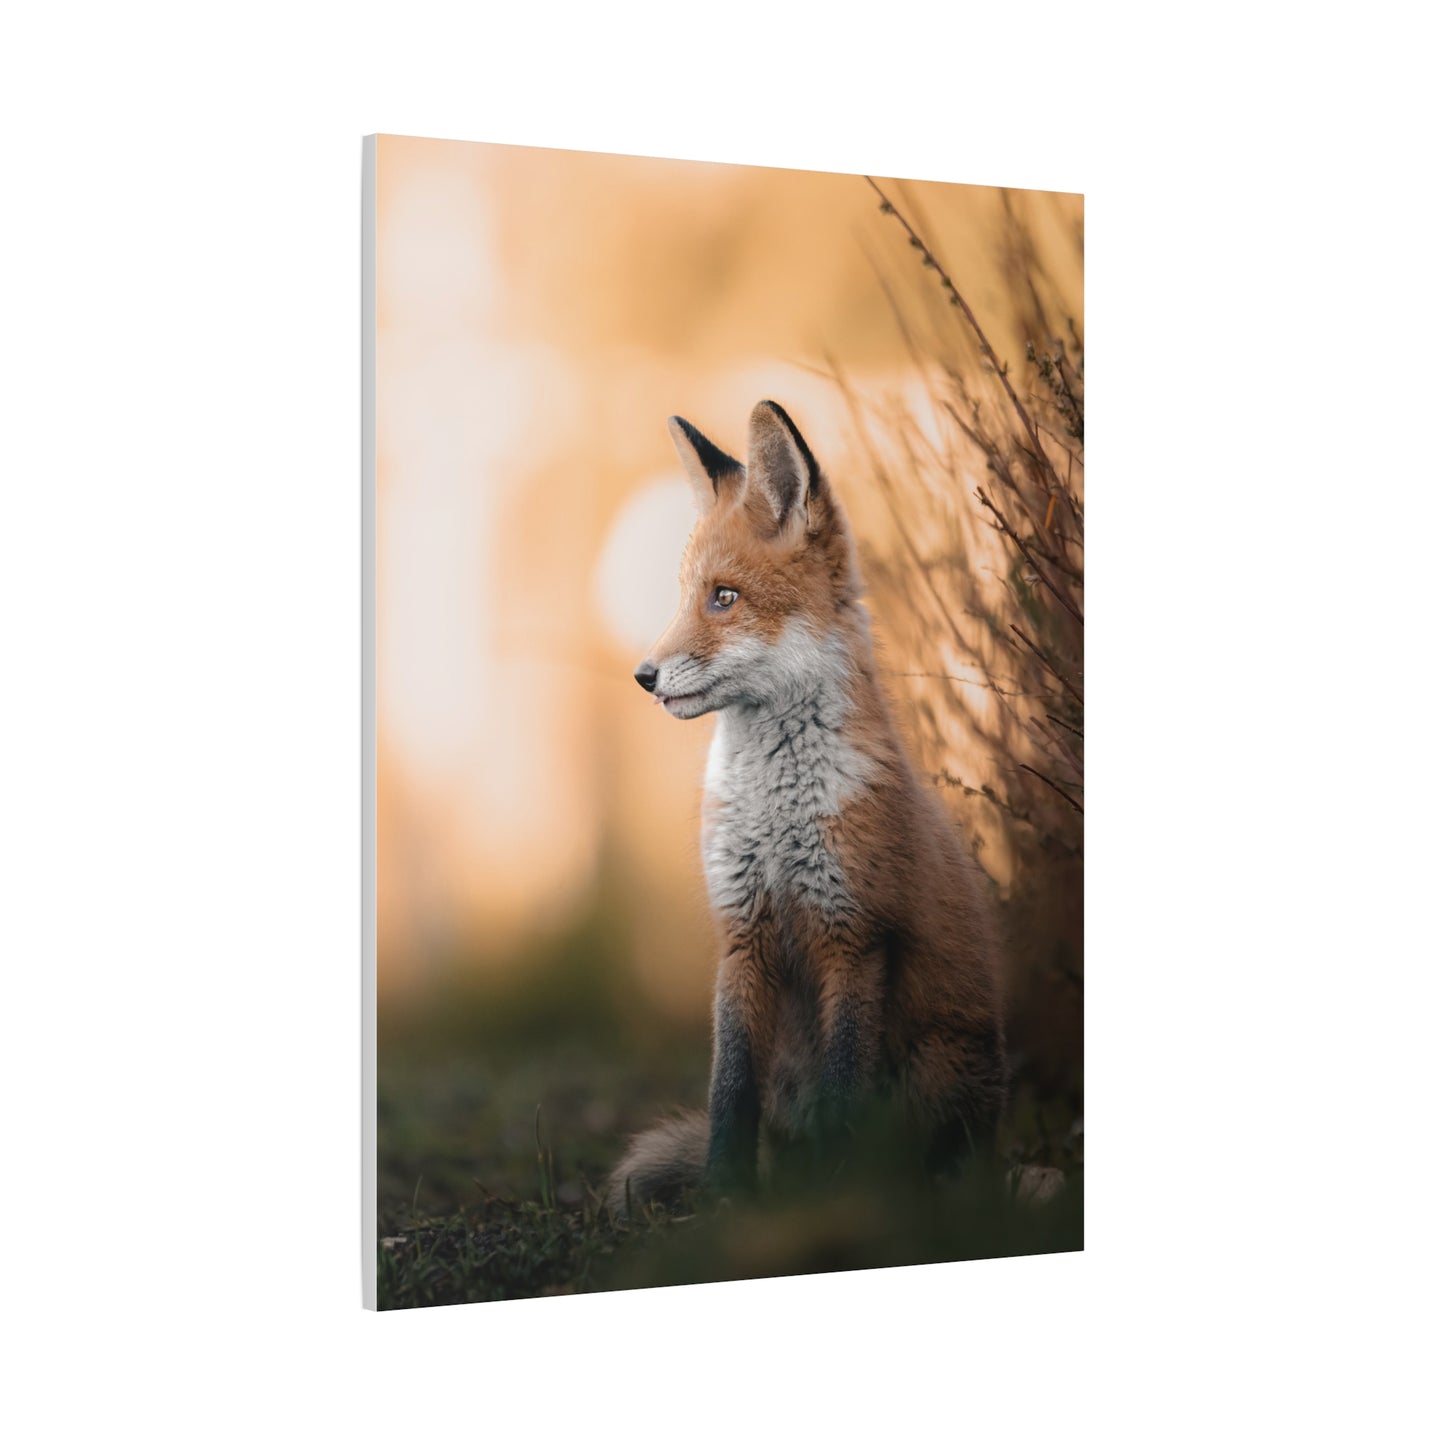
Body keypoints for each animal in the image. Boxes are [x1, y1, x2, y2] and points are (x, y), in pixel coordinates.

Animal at [607, 400, 1006, 1214]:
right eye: (684, 594)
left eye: (724, 597)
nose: (643, 676)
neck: (775, 815)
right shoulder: (741, 934)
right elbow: (729, 1091)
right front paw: (725, 1196)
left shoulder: (853, 934)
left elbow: (844, 1088)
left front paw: (835, 1193)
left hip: (939, 1068)